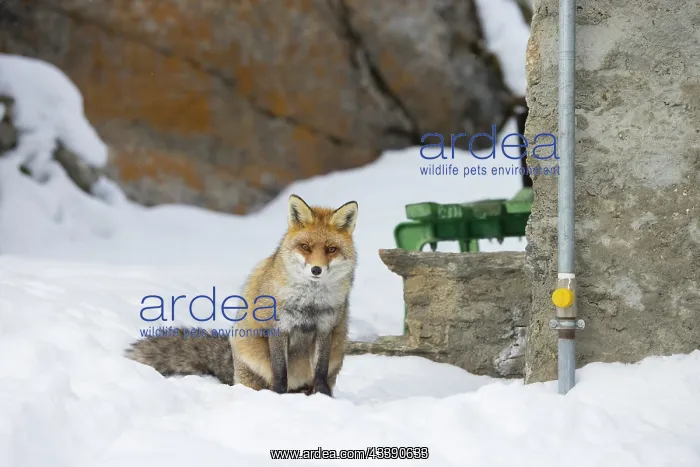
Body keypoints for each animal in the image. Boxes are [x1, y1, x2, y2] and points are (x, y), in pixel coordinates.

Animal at [125, 194, 359, 397]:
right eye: (305, 247)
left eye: (331, 249)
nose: (316, 270)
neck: (310, 303)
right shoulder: (278, 327)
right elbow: (280, 373)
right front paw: (278, 397)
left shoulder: (325, 328)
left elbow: (320, 371)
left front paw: (324, 397)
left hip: (338, 349)